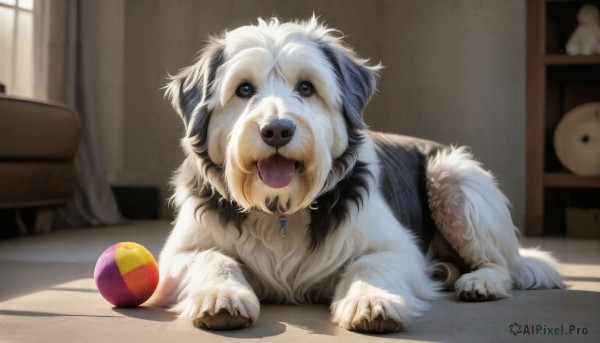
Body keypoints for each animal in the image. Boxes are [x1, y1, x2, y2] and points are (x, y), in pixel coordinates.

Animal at [152, 16, 564, 334]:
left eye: (306, 87)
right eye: (244, 89)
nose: (277, 130)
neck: (282, 210)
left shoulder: (398, 248)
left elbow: (369, 263)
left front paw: (372, 302)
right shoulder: (178, 254)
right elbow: (213, 258)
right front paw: (221, 297)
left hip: (455, 178)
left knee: (501, 264)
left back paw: (480, 282)